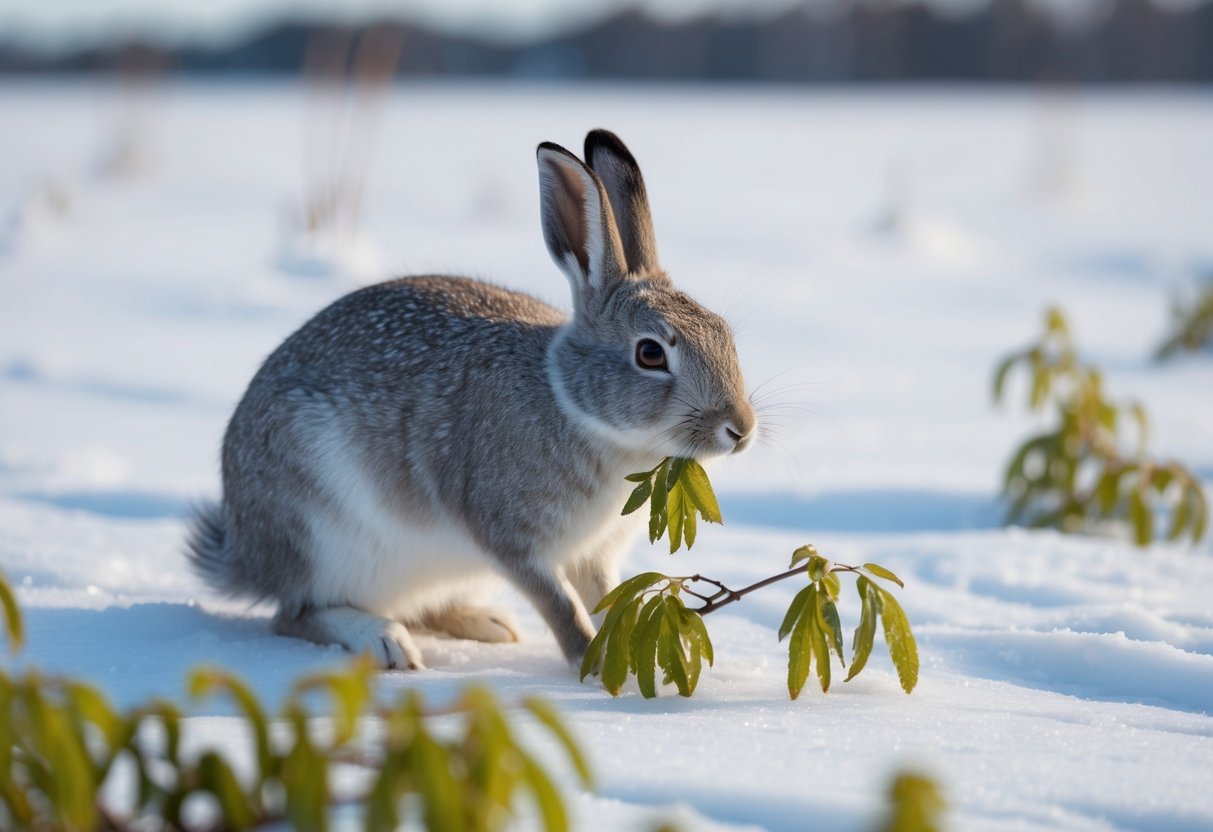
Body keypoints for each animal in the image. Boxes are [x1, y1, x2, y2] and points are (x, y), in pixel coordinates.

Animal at [186, 129, 757, 670]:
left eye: (724, 333)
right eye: (650, 353)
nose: (741, 428)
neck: (576, 409)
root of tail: (245, 553)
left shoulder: (592, 553)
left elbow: (608, 598)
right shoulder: (510, 539)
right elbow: (559, 604)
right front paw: (589, 662)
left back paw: (487, 623)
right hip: (323, 534)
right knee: (295, 613)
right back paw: (384, 641)